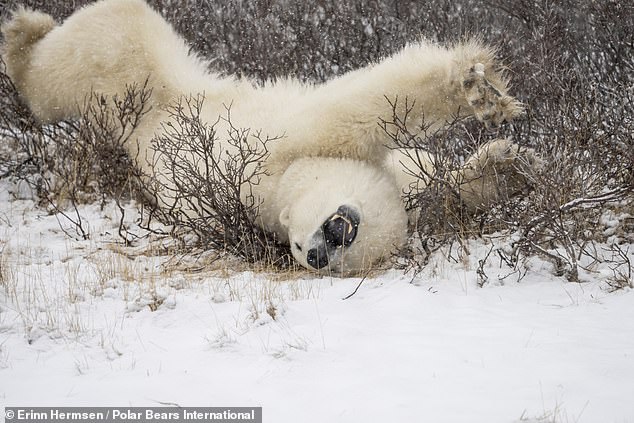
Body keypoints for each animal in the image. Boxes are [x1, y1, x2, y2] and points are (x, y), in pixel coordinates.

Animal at [1, 0, 524, 274]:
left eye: (342, 261)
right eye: (297, 245)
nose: (318, 252)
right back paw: (23, 31)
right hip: (132, 71)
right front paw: (481, 91)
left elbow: (443, 186)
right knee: (74, 60)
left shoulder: (405, 176)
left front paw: (512, 166)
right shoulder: (275, 148)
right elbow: (355, 107)